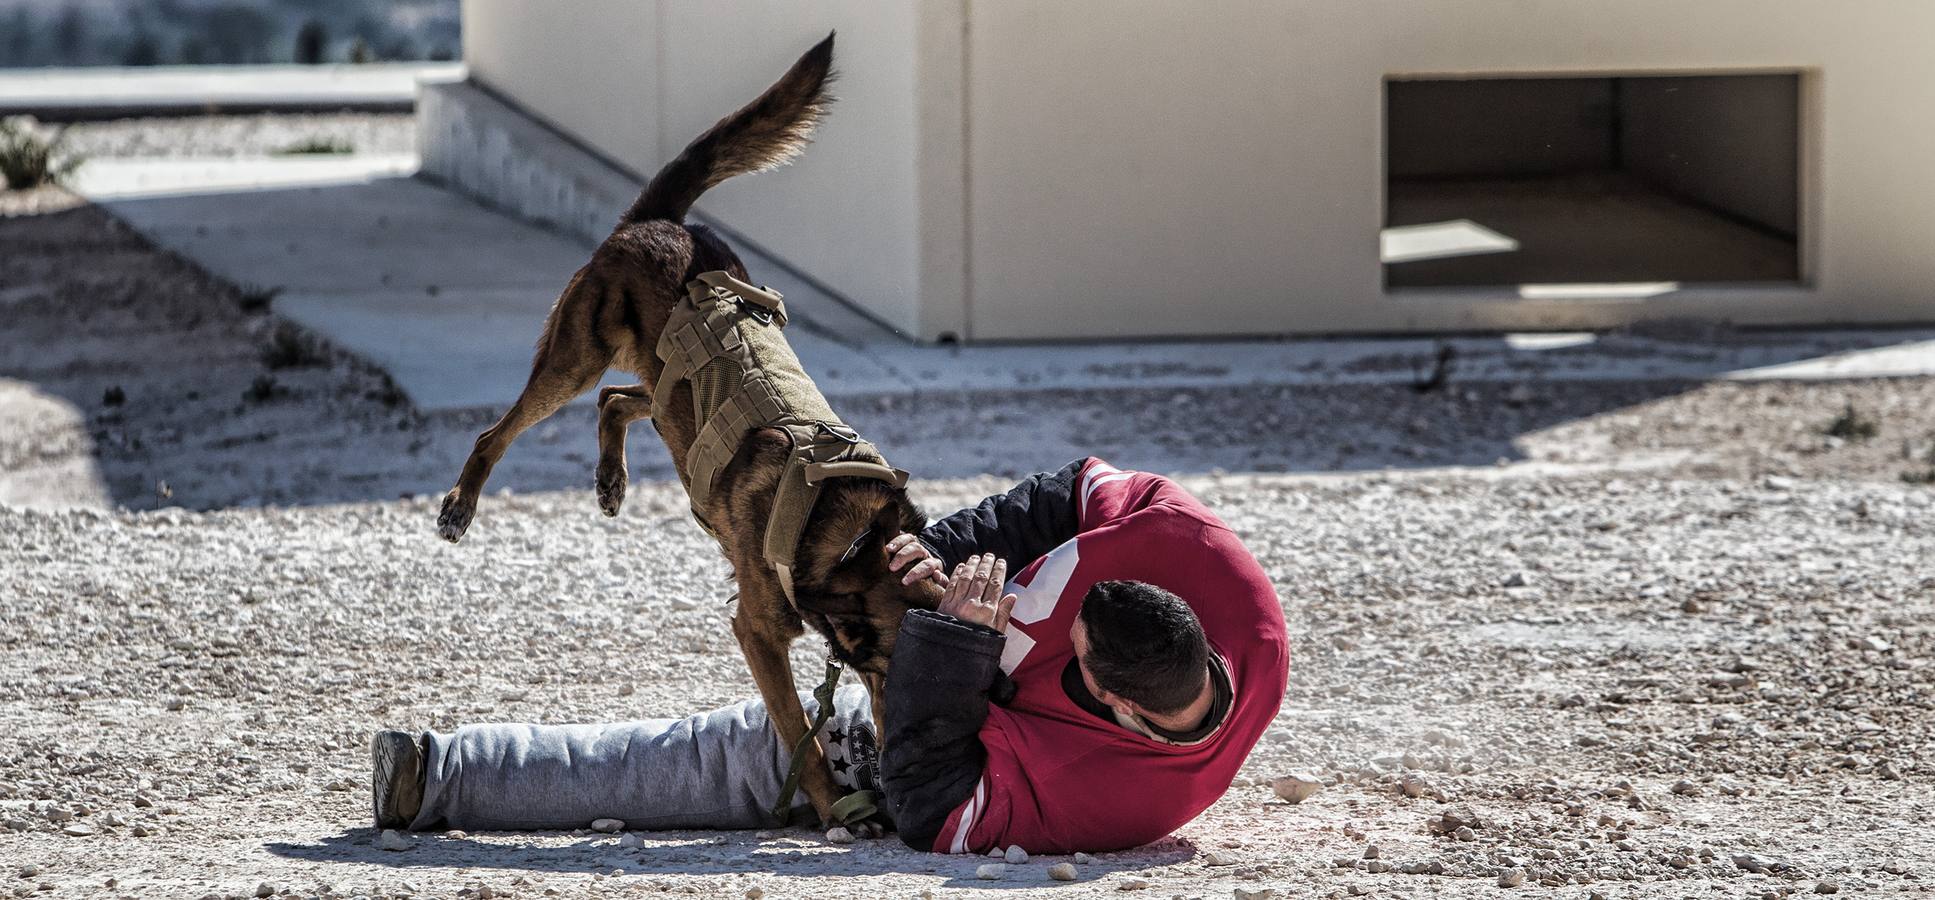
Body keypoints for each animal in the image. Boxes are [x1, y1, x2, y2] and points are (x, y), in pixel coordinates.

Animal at [441, 33, 952, 820]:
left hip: (663, 387)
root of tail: (660, 221)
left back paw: (611, 478)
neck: (852, 529)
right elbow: (798, 732)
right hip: (576, 353)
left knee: (618, 402)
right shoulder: (757, 632)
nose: (903, 783)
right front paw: (833, 809)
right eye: (905, 670)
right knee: (501, 430)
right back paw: (462, 504)